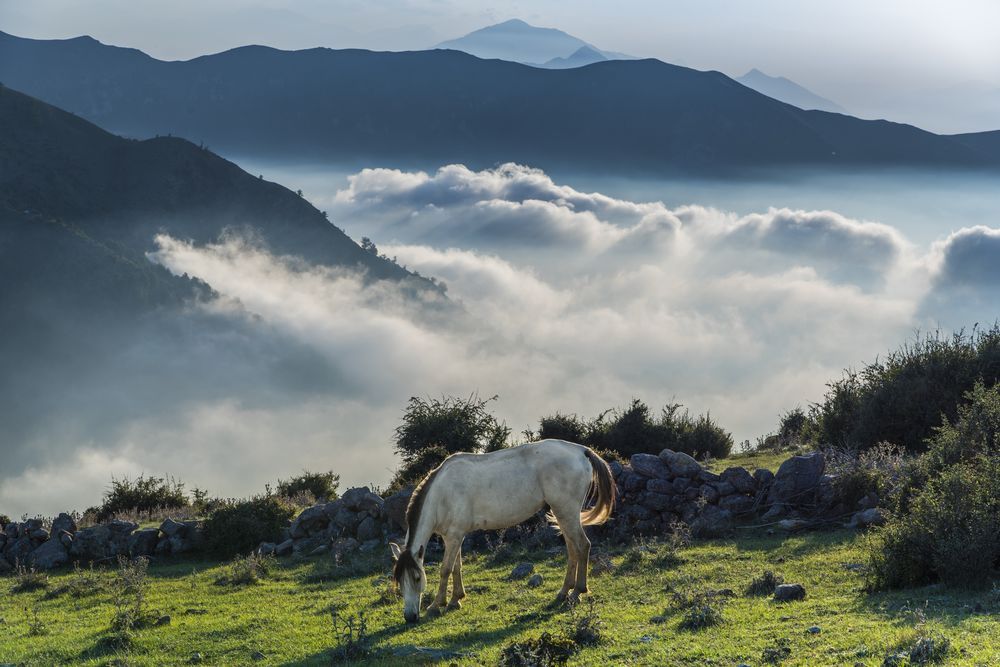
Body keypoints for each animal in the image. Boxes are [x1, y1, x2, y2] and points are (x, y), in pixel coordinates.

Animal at [386, 440, 612, 624]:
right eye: (399, 581)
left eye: (417, 578)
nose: (410, 617)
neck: (441, 495)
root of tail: (581, 451)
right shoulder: (454, 536)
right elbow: (457, 567)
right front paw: (456, 600)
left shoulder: (454, 536)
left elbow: (445, 570)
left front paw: (436, 605)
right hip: (563, 513)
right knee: (573, 549)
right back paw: (564, 592)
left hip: (566, 511)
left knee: (582, 546)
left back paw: (577, 592)